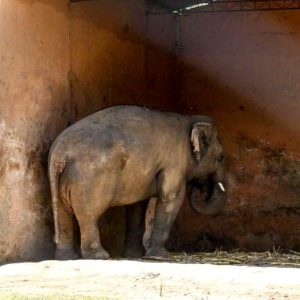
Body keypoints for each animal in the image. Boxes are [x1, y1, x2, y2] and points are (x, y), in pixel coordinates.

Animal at [48, 105, 226, 260]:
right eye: (221, 157)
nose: (199, 188)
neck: (188, 120)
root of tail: (59, 155)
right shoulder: (175, 162)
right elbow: (170, 197)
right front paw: (159, 256)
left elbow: (137, 206)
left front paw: (134, 255)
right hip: (89, 180)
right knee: (89, 214)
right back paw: (99, 256)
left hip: (61, 181)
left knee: (63, 213)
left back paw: (66, 258)